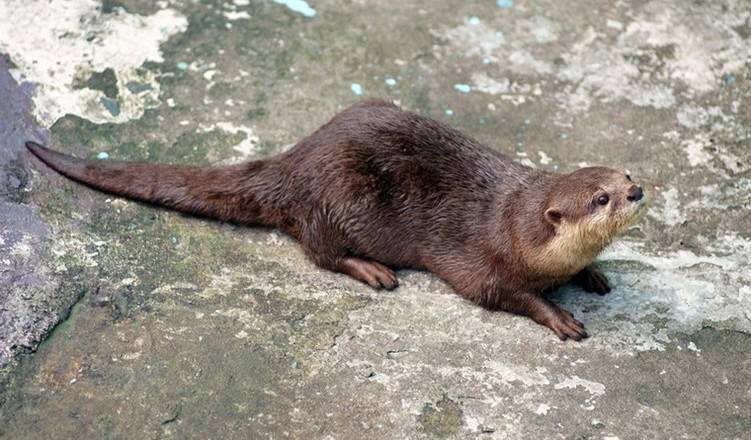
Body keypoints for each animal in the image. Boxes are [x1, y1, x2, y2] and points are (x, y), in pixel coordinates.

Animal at [23, 99, 648, 340]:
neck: (519, 228)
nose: (638, 190)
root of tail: (297, 160)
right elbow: (505, 293)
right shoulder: (487, 259)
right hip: (340, 197)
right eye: (601, 199)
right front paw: (559, 315)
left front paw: (594, 274)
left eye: (623, 174)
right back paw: (371, 270)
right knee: (316, 250)